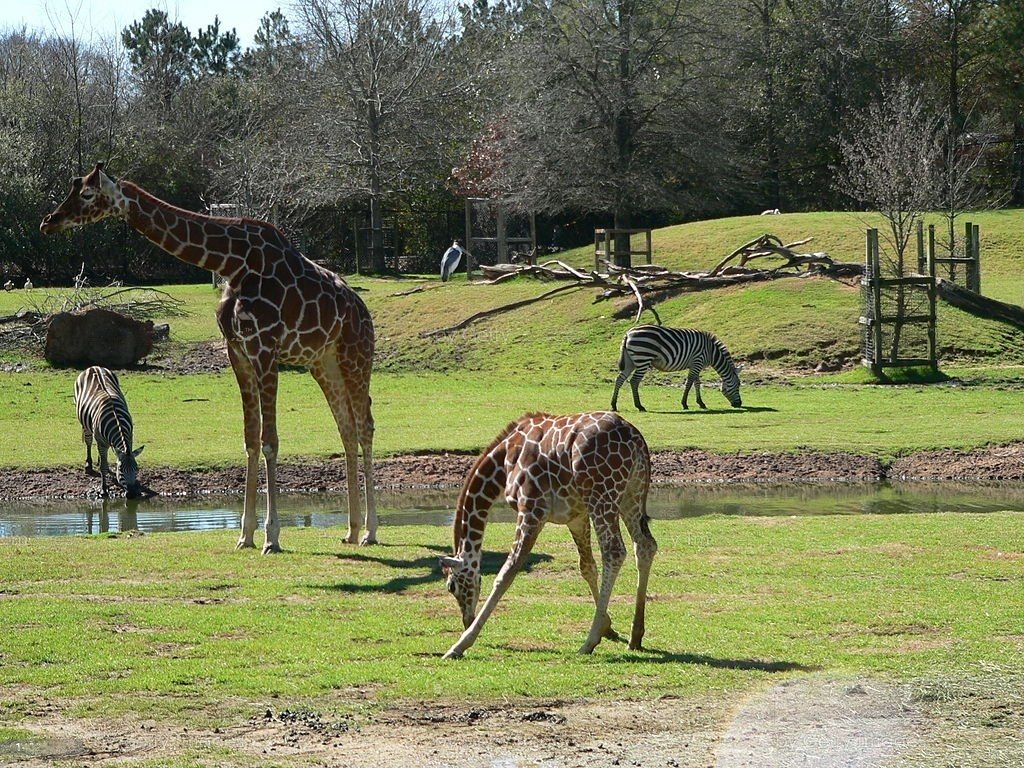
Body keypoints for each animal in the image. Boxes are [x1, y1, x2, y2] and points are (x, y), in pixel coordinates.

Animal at [74, 366, 147, 499]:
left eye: (136, 469)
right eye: (121, 470)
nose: (132, 494)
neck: (116, 419)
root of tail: (93, 367)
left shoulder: (130, 437)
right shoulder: (102, 442)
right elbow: (102, 467)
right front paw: (103, 490)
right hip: (84, 423)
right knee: (88, 441)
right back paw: (89, 465)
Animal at [440, 411, 655, 659]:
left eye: (451, 586)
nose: (466, 619)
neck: (503, 464)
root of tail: (636, 439)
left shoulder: (531, 509)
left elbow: (507, 572)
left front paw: (459, 645)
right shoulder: (576, 516)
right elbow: (587, 567)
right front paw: (607, 627)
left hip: (601, 495)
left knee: (614, 551)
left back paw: (588, 642)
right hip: (631, 493)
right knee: (645, 546)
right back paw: (635, 636)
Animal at [606, 329, 745, 417]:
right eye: (738, 385)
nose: (739, 404)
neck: (712, 352)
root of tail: (628, 333)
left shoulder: (696, 364)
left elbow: (697, 383)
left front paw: (701, 403)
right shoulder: (697, 361)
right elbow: (689, 383)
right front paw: (684, 404)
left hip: (631, 361)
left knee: (619, 379)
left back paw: (614, 405)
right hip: (643, 358)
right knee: (634, 381)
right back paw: (639, 406)